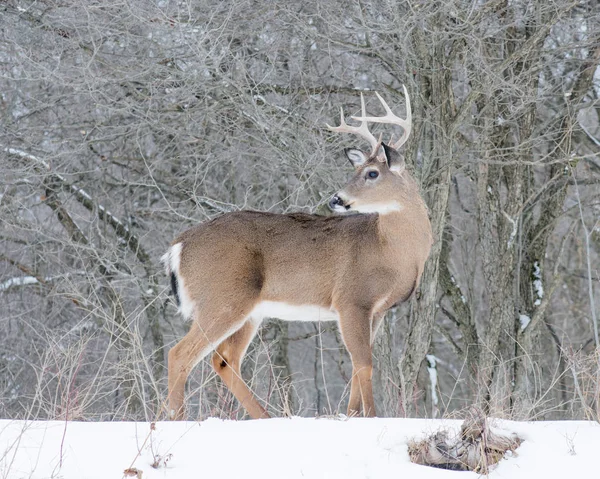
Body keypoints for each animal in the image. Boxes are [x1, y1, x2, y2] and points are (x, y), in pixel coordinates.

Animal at [162, 87, 434, 420]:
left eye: (371, 173)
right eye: (357, 170)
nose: (336, 199)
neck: (393, 252)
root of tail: (178, 246)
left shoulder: (377, 310)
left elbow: (358, 368)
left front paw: (351, 415)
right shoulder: (351, 299)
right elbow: (364, 364)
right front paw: (370, 417)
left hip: (250, 310)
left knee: (224, 359)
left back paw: (265, 418)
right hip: (222, 298)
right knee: (180, 354)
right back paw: (175, 418)